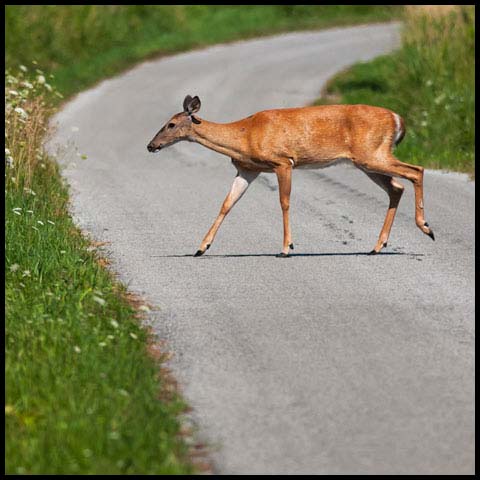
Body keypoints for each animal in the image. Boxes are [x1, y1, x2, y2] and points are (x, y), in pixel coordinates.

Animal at [146, 95, 436, 256]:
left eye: (171, 124)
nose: (151, 145)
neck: (244, 135)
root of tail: (399, 119)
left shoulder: (283, 161)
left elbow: (284, 202)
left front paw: (287, 247)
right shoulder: (248, 169)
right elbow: (226, 204)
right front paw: (201, 247)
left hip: (371, 154)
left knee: (415, 171)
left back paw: (425, 227)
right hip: (367, 161)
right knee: (396, 187)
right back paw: (378, 246)